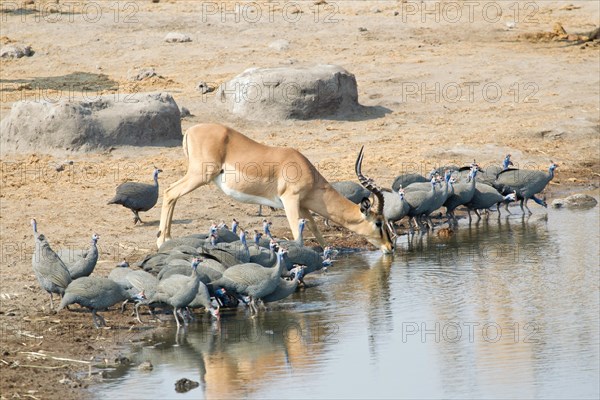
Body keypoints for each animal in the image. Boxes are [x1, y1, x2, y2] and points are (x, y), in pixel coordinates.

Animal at [157, 123, 396, 253]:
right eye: (379, 222)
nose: (391, 247)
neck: (303, 167)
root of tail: (190, 130)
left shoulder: (303, 205)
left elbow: (315, 228)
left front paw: (331, 251)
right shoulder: (290, 201)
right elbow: (297, 234)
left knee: (172, 195)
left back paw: (166, 238)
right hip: (200, 176)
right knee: (169, 192)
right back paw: (162, 241)